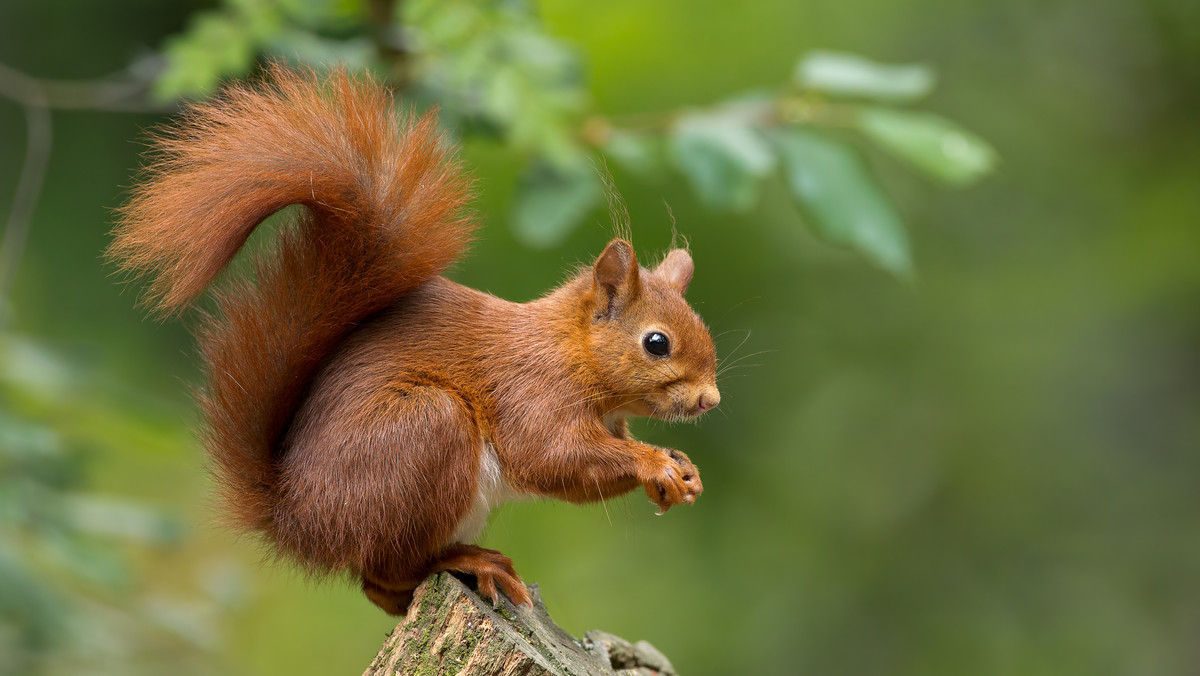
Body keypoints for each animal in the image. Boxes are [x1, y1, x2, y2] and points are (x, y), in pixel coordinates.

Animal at [108, 66, 715, 614]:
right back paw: (467, 560)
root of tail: (298, 521)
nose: (710, 399)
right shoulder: (533, 390)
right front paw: (654, 464)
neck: (572, 350)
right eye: (656, 343)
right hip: (424, 432)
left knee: (378, 589)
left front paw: (680, 472)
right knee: (386, 569)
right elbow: (552, 456)